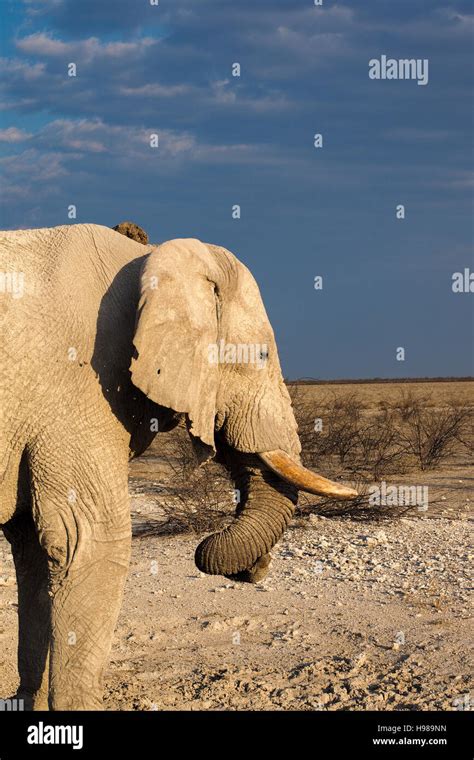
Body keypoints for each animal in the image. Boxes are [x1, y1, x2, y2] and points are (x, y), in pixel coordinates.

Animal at [0, 223, 356, 708]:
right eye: (261, 357)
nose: (255, 569)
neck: (148, 258)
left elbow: (32, 549)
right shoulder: (75, 388)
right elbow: (86, 541)